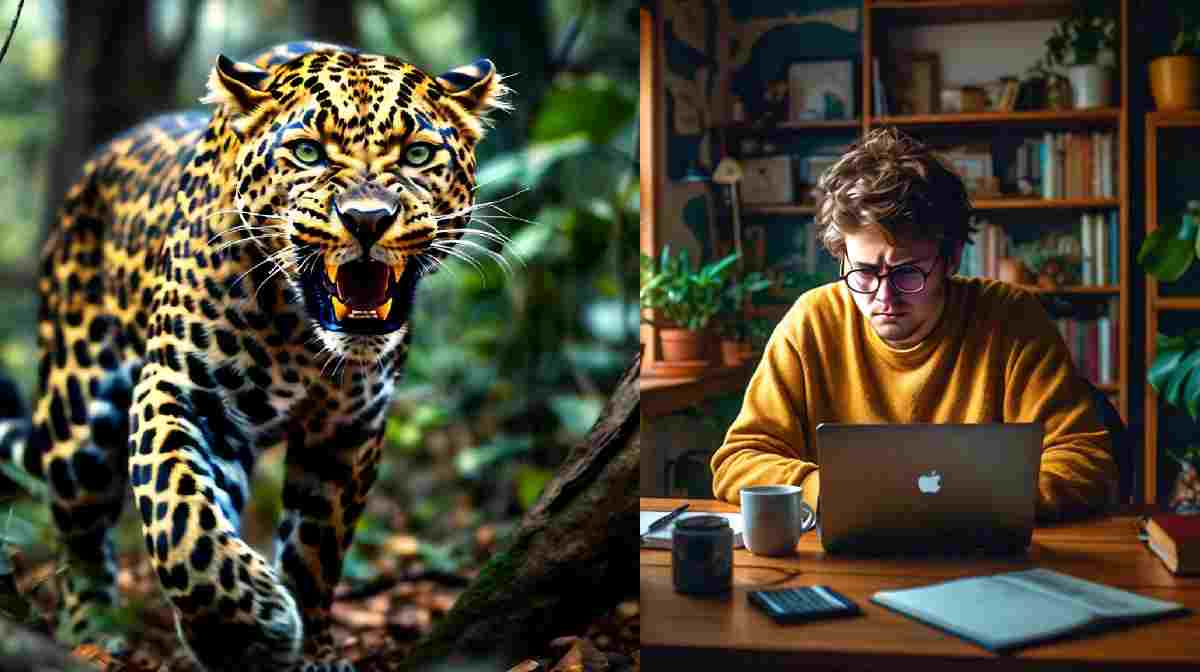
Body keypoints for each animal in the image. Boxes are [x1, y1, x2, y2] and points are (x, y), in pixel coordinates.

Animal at [0, 41, 509, 671]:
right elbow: (180, 515)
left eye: (417, 153)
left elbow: (316, 551)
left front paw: (311, 648)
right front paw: (247, 632)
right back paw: (91, 630)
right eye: (308, 152)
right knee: (80, 532)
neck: (300, 334)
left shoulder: (350, 429)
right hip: (78, 415)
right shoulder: (180, 392)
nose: (367, 220)